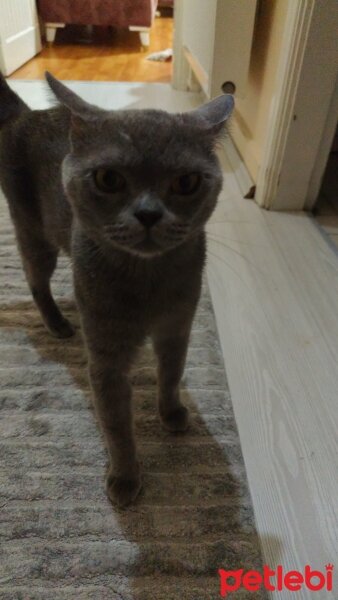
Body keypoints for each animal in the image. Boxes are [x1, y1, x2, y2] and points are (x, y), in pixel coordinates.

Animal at [0, 74, 234, 506]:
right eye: (108, 178)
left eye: (187, 182)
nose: (148, 214)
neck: (148, 283)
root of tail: (25, 114)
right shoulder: (106, 357)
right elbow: (117, 425)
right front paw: (125, 481)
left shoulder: (178, 326)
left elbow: (171, 374)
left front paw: (172, 414)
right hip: (33, 233)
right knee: (35, 280)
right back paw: (59, 325)